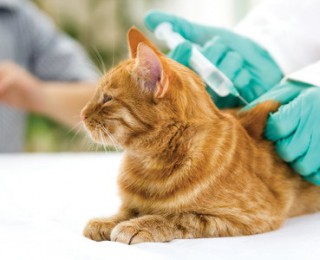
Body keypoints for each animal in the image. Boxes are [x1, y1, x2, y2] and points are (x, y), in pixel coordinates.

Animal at [80, 26, 320, 244]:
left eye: (107, 99)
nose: (82, 114)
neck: (149, 164)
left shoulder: (253, 215)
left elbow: (178, 217)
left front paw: (139, 225)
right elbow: (127, 210)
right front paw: (108, 221)